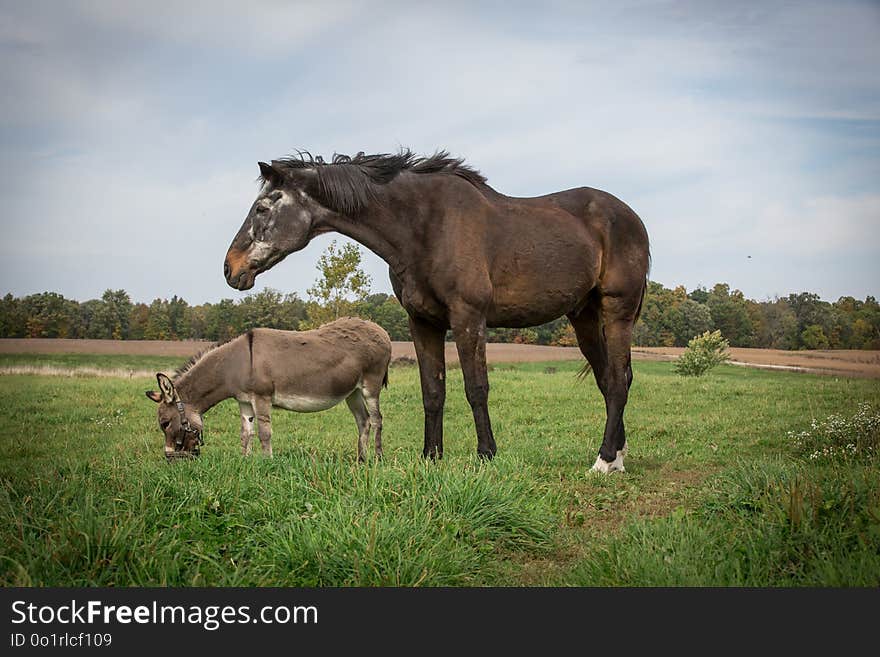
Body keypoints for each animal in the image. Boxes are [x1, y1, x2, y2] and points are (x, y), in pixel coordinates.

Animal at [223, 150, 648, 472]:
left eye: (262, 208)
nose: (230, 268)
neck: (425, 225)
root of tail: (630, 217)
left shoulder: (468, 317)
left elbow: (476, 388)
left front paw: (486, 454)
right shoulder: (422, 322)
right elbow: (432, 390)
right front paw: (431, 455)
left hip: (617, 311)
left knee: (618, 379)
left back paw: (603, 460)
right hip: (584, 316)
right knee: (607, 379)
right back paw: (618, 455)